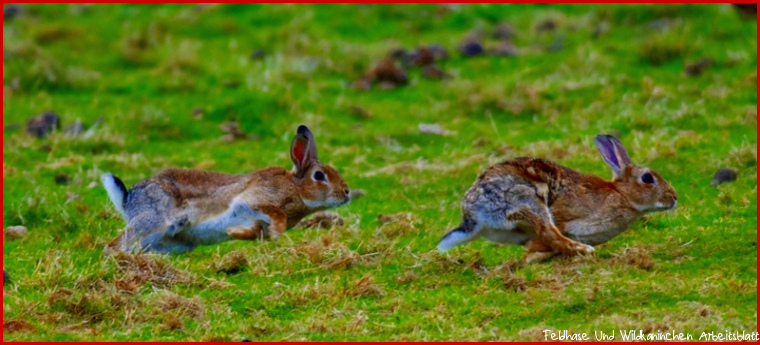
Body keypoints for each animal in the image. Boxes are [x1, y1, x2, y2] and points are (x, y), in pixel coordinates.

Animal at [99, 125, 352, 254]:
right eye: (319, 176)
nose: (347, 193)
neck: (296, 189)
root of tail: (128, 199)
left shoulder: (256, 221)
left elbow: (253, 231)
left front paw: (235, 233)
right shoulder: (254, 199)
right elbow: (275, 212)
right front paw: (277, 231)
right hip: (153, 222)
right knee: (114, 246)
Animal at [436, 134, 680, 260]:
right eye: (647, 178)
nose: (674, 197)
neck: (622, 195)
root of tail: (473, 215)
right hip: (529, 201)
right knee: (550, 232)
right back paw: (583, 250)